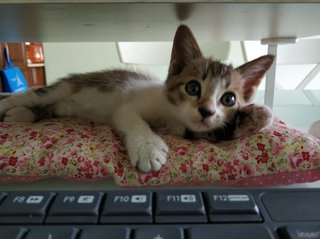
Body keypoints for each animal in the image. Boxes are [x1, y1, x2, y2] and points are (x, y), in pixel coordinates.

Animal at [0, 25, 276, 172]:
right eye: (193, 87)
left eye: (229, 100)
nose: (206, 110)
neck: (171, 115)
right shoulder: (128, 106)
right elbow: (134, 120)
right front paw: (148, 149)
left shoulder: (191, 130)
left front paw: (255, 116)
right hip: (63, 88)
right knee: (30, 96)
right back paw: (9, 106)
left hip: (62, 106)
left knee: (47, 108)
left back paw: (19, 115)